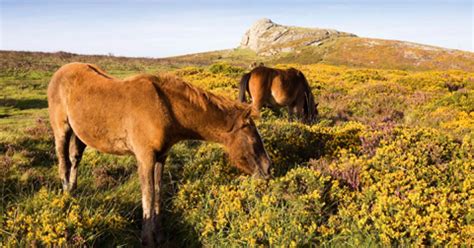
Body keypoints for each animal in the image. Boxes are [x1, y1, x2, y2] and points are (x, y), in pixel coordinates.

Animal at [47, 63, 272, 247]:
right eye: (253, 141)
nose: (268, 169)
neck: (165, 109)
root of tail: (59, 73)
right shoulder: (145, 158)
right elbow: (148, 195)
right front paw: (147, 239)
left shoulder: (161, 157)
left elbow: (158, 192)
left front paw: (159, 235)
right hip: (61, 129)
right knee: (63, 162)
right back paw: (67, 195)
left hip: (80, 135)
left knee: (75, 158)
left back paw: (74, 190)